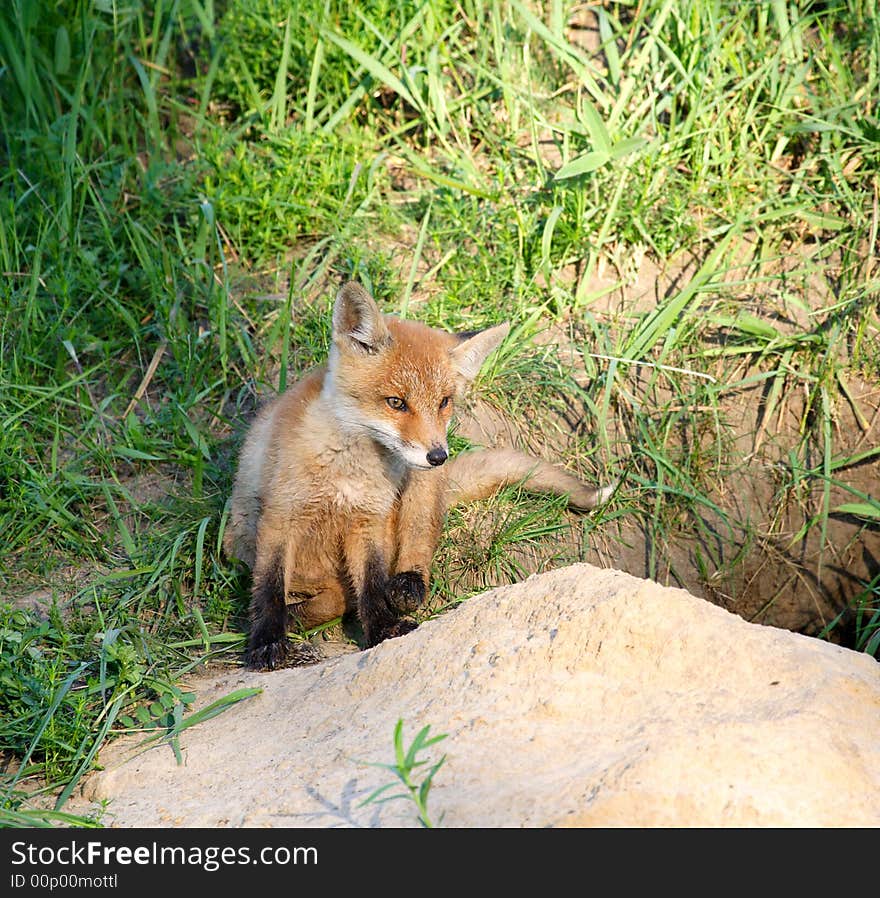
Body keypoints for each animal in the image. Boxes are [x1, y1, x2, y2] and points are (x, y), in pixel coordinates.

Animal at [227, 280, 612, 664]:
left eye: (443, 402)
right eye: (396, 402)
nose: (438, 455)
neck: (347, 473)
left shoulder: (369, 522)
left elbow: (371, 584)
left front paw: (383, 629)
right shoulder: (282, 514)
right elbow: (269, 587)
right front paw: (266, 641)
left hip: (418, 489)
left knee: (407, 548)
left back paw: (406, 585)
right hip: (241, 537)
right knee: (328, 594)